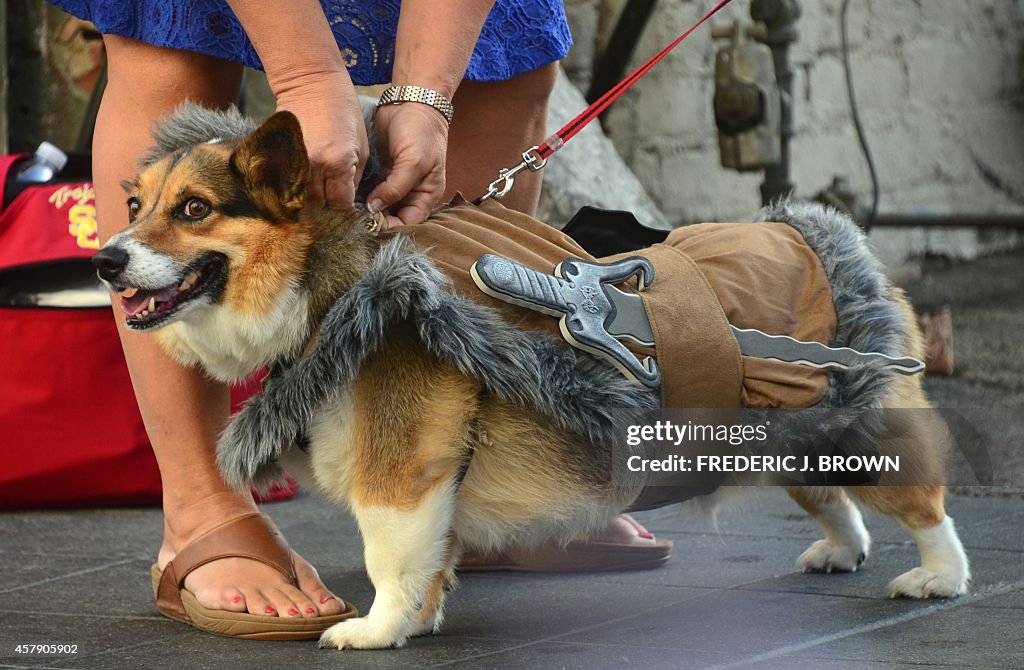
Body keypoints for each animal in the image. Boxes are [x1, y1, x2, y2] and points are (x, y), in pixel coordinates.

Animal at [94, 109, 966, 651]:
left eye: (195, 209)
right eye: (135, 205)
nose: (105, 260)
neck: (326, 284)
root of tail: (831, 240)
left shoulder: (398, 474)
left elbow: (389, 559)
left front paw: (375, 631)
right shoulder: (433, 485)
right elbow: (430, 561)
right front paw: (421, 619)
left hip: (856, 425)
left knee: (924, 505)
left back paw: (938, 576)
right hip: (788, 431)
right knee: (831, 497)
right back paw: (841, 551)